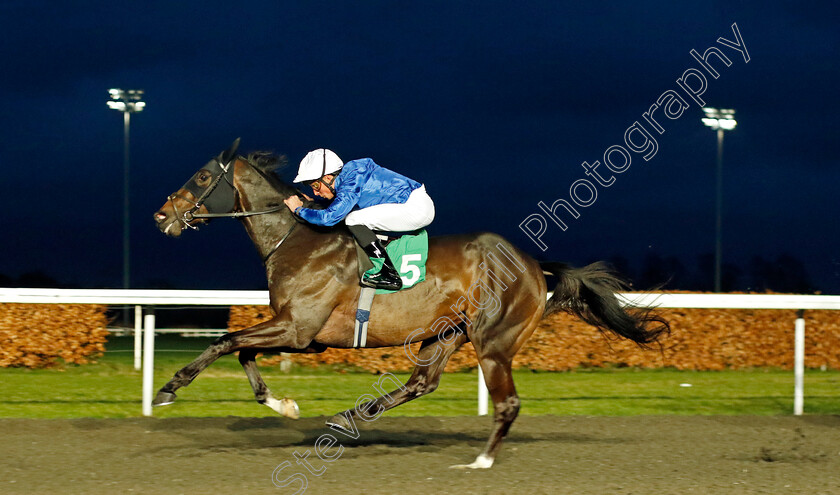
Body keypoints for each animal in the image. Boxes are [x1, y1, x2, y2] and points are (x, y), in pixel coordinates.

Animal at [153, 140, 668, 468]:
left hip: (492, 341)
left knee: (506, 403)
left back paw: (482, 461)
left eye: (202, 175)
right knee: (422, 383)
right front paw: (283, 405)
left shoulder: (299, 329)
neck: (298, 239)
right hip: (446, 333)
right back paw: (351, 416)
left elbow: (225, 341)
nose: (161, 215)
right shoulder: (303, 335)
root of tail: (530, 263)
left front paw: (169, 388)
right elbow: (243, 351)